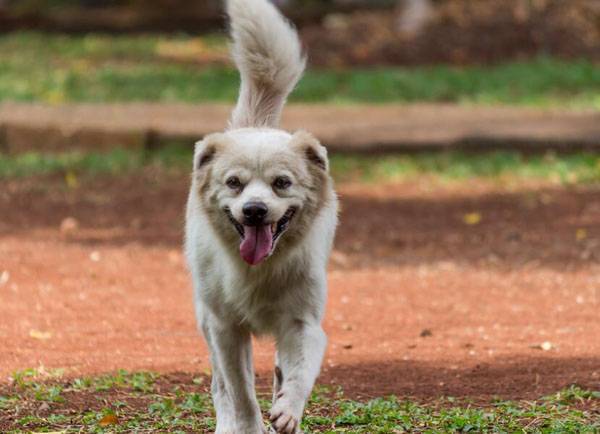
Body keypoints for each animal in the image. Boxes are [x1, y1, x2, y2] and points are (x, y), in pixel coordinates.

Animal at [183, 0, 340, 430]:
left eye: (281, 183)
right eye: (234, 183)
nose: (254, 211)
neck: (261, 270)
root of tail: (253, 125)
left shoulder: (303, 323)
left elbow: (299, 375)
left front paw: (288, 412)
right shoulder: (225, 329)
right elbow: (240, 394)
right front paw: (249, 426)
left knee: (282, 371)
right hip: (205, 317)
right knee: (221, 386)